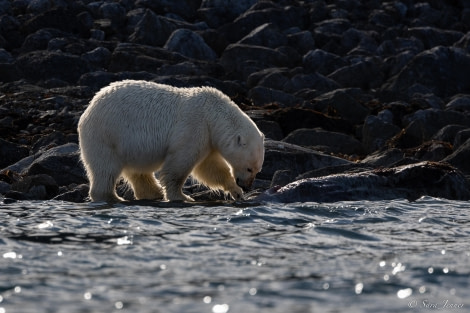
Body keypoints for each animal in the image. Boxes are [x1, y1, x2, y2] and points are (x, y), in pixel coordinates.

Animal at [79, 80, 266, 202]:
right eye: (249, 168)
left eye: (258, 170)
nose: (247, 186)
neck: (211, 113)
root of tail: (88, 109)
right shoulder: (194, 127)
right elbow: (179, 165)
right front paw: (183, 197)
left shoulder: (208, 138)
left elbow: (210, 167)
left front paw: (236, 191)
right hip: (107, 135)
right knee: (105, 168)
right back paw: (113, 197)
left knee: (137, 171)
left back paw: (153, 193)